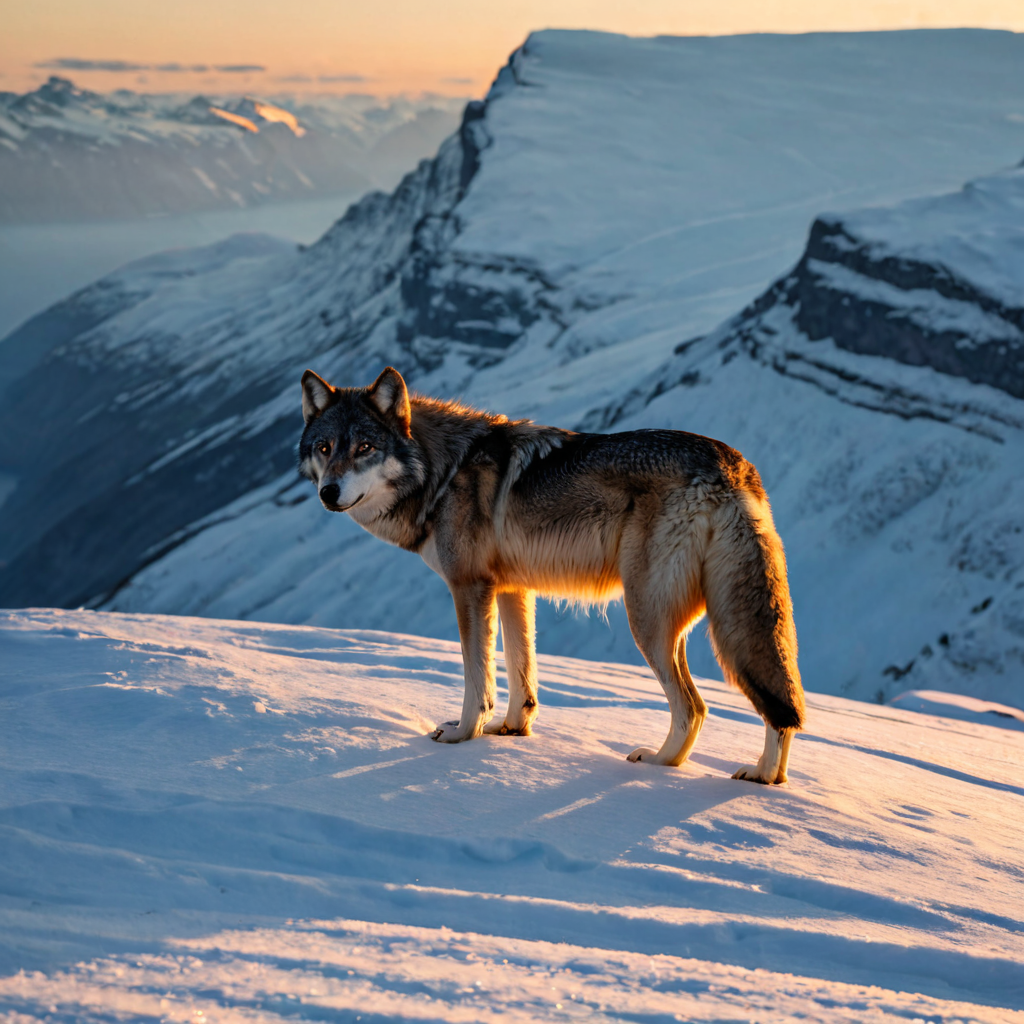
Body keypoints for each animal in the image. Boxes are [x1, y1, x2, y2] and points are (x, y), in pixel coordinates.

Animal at [298, 366, 804, 784]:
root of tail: (732, 466)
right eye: (325, 448)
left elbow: (476, 675)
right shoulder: (512, 590)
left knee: (695, 708)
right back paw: (765, 777)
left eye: (365, 448)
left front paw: (463, 734)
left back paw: (659, 763)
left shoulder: (469, 588)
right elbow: (522, 669)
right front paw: (511, 729)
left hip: (648, 620)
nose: (328, 493)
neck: (442, 471)